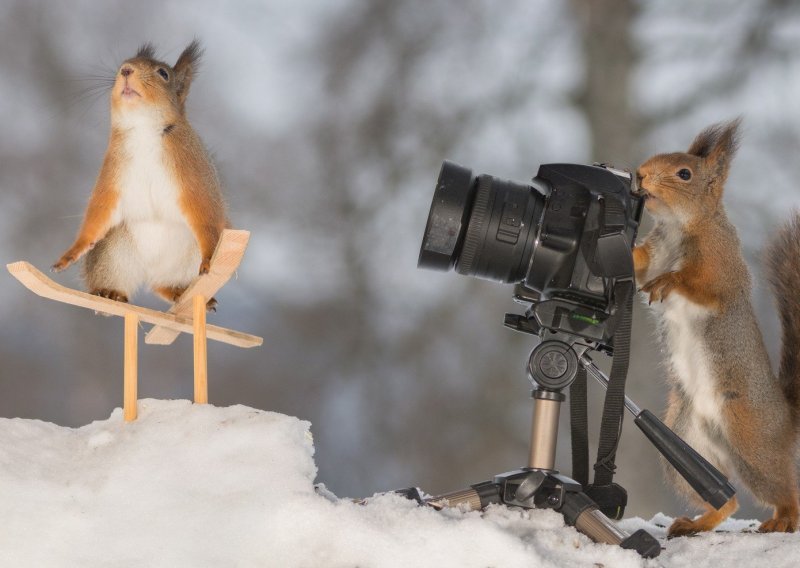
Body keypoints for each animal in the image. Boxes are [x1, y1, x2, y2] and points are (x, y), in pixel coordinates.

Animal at [52, 40, 228, 308]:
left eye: (163, 73)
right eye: (124, 63)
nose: (125, 69)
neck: (143, 128)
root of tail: (150, 271)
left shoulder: (193, 173)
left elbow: (205, 212)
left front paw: (209, 258)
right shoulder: (112, 175)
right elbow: (98, 212)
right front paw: (71, 253)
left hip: (184, 261)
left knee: (162, 285)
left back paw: (181, 292)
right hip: (112, 254)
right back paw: (109, 293)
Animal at [636, 117, 800, 536]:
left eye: (684, 174)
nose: (639, 174)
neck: (678, 226)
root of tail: (785, 417)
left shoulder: (721, 266)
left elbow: (702, 285)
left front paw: (670, 281)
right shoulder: (653, 251)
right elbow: (638, 264)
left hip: (750, 440)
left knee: (783, 487)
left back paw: (783, 518)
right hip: (682, 442)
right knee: (728, 499)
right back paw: (697, 522)